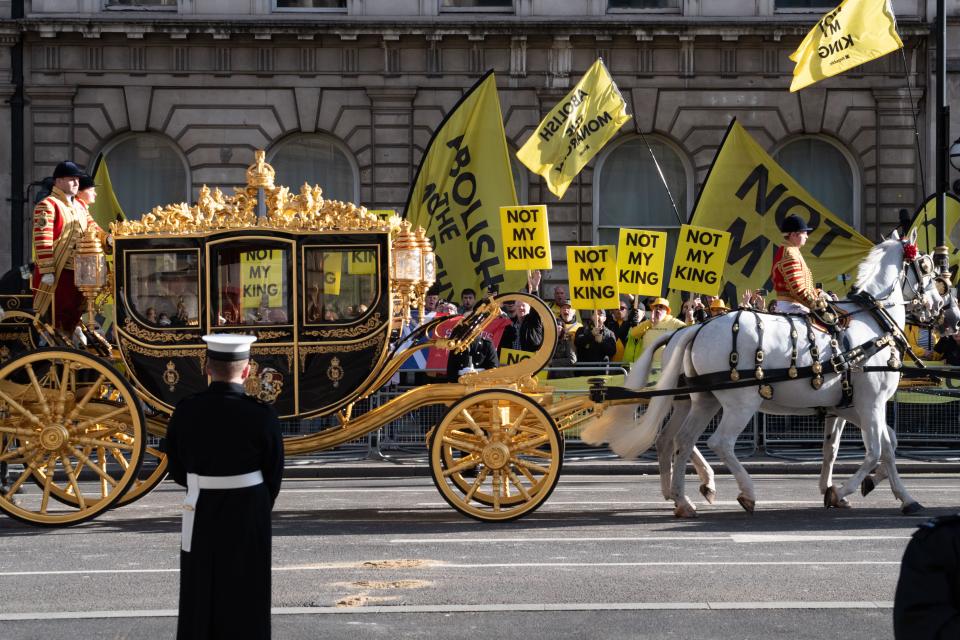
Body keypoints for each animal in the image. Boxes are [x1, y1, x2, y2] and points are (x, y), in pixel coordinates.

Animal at [584, 232, 944, 516]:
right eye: (925, 266)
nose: (940, 305)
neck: (871, 325)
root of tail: (695, 328)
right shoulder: (871, 403)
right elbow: (876, 450)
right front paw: (850, 490)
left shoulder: (849, 406)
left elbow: (868, 446)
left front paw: (887, 494)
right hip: (740, 404)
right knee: (717, 442)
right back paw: (745, 493)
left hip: (702, 401)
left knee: (678, 441)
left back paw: (684, 500)